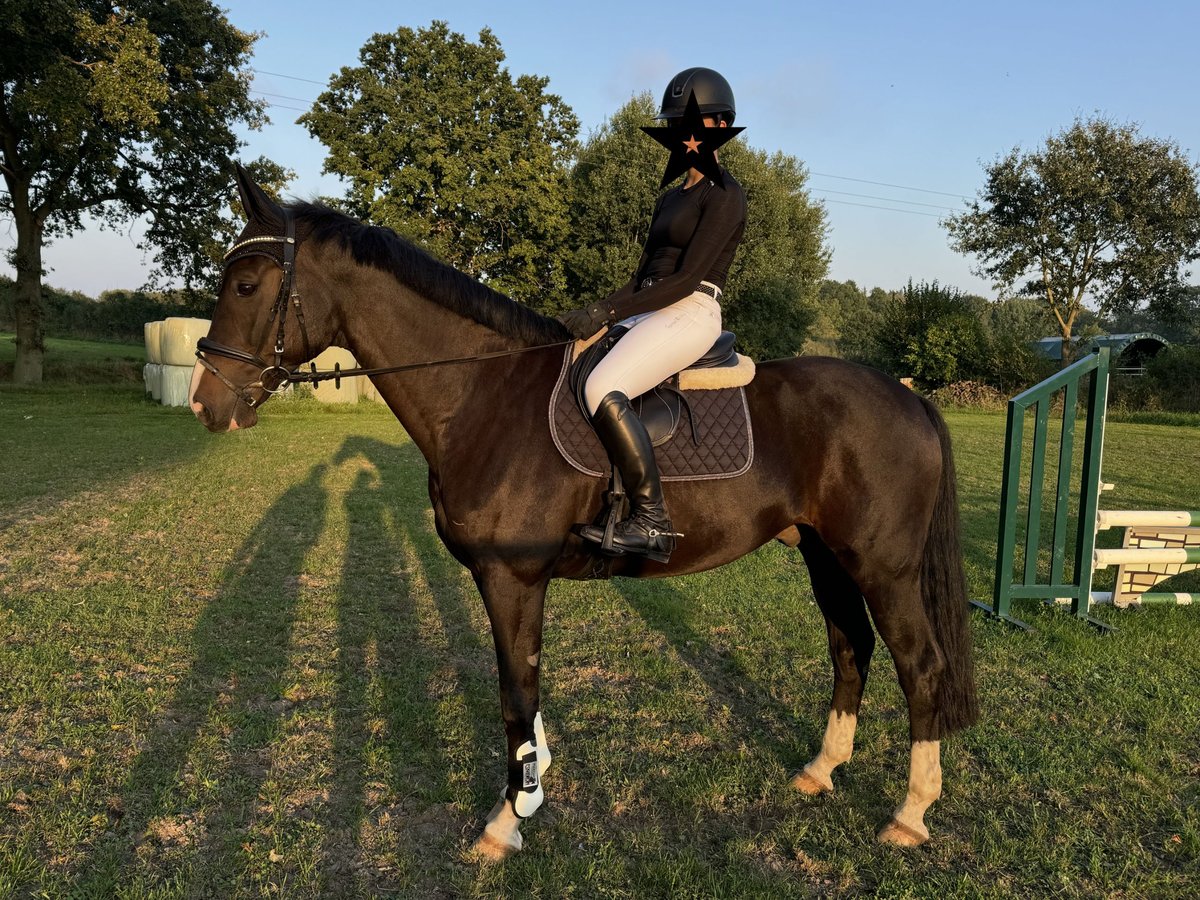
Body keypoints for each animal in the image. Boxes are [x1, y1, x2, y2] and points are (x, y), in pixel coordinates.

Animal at [187, 165, 974, 864]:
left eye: (247, 284)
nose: (205, 403)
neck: (483, 394)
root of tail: (908, 397)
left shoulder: (513, 576)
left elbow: (515, 692)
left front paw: (507, 822)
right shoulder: (509, 580)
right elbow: (523, 688)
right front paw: (531, 789)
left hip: (883, 566)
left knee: (920, 664)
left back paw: (911, 814)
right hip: (823, 553)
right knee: (851, 648)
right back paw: (820, 772)